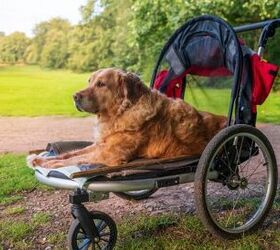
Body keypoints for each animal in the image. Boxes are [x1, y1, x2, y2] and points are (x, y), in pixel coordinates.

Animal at [31, 67, 228, 169]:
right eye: (89, 81)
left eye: (101, 84)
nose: (74, 96)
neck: (119, 114)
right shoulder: (101, 145)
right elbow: (72, 153)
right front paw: (44, 158)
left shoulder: (110, 154)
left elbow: (74, 159)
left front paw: (49, 163)